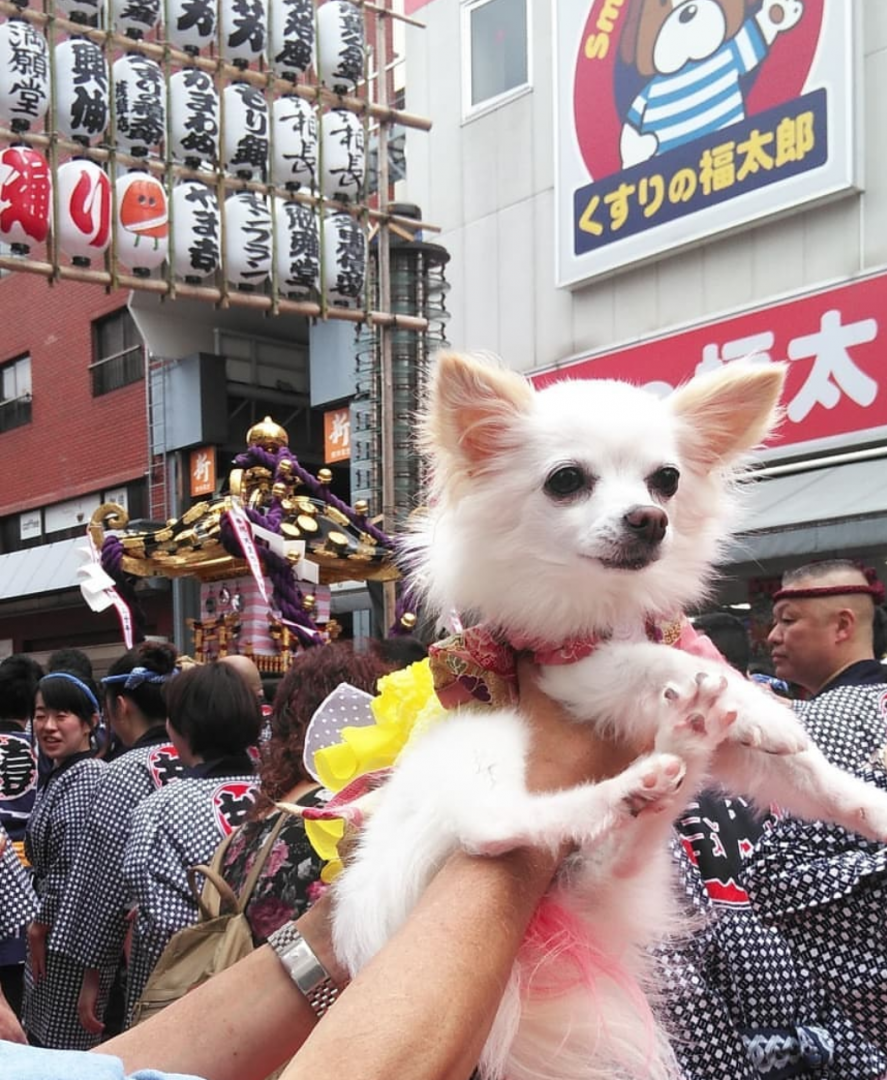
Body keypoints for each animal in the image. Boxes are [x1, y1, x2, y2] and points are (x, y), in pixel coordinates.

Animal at [328, 354, 885, 1080]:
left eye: (666, 480)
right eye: (566, 481)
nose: (649, 518)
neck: (607, 606)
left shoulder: (712, 708)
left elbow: (809, 777)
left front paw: (867, 804)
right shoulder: (571, 670)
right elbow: (653, 662)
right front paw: (767, 709)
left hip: (608, 870)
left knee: (614, 854)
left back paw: (670, 763)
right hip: (484, 735)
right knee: (489, 827)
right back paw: (625, 786)